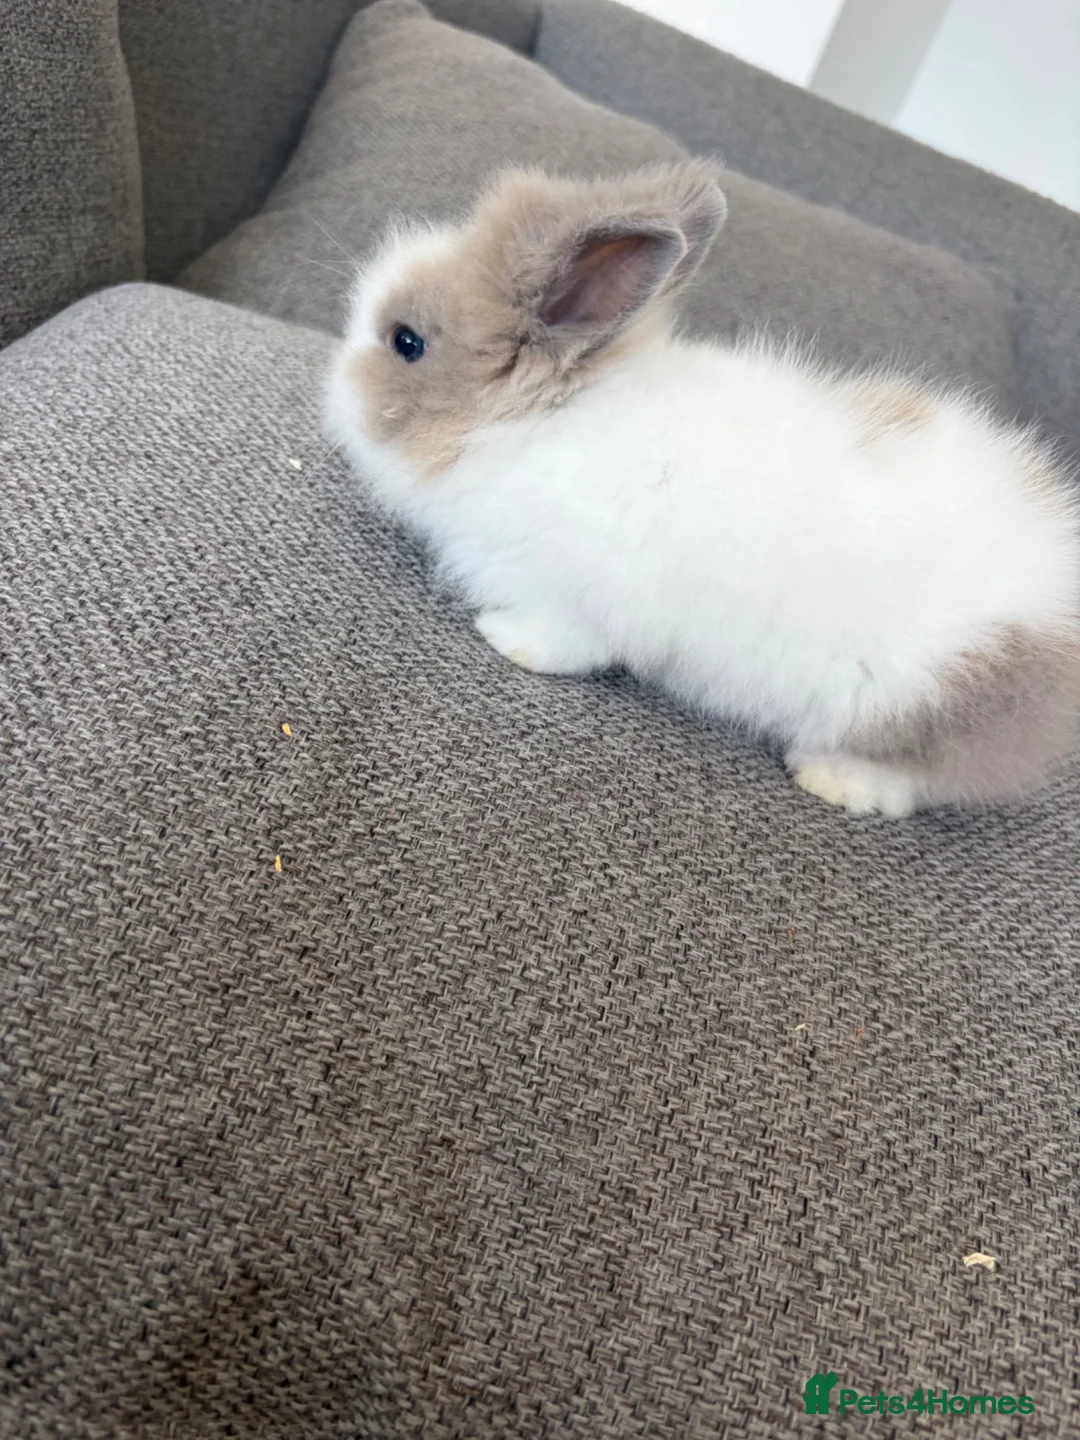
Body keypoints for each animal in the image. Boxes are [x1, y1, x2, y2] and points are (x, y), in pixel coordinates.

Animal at [324, 160, 1080, 817]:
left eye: (407, 342)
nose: (331, 389)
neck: (532, 424)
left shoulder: (584, 595)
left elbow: (567, 643)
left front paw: (505, 639)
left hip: (913, 702)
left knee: (916, 777)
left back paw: (832, 781)